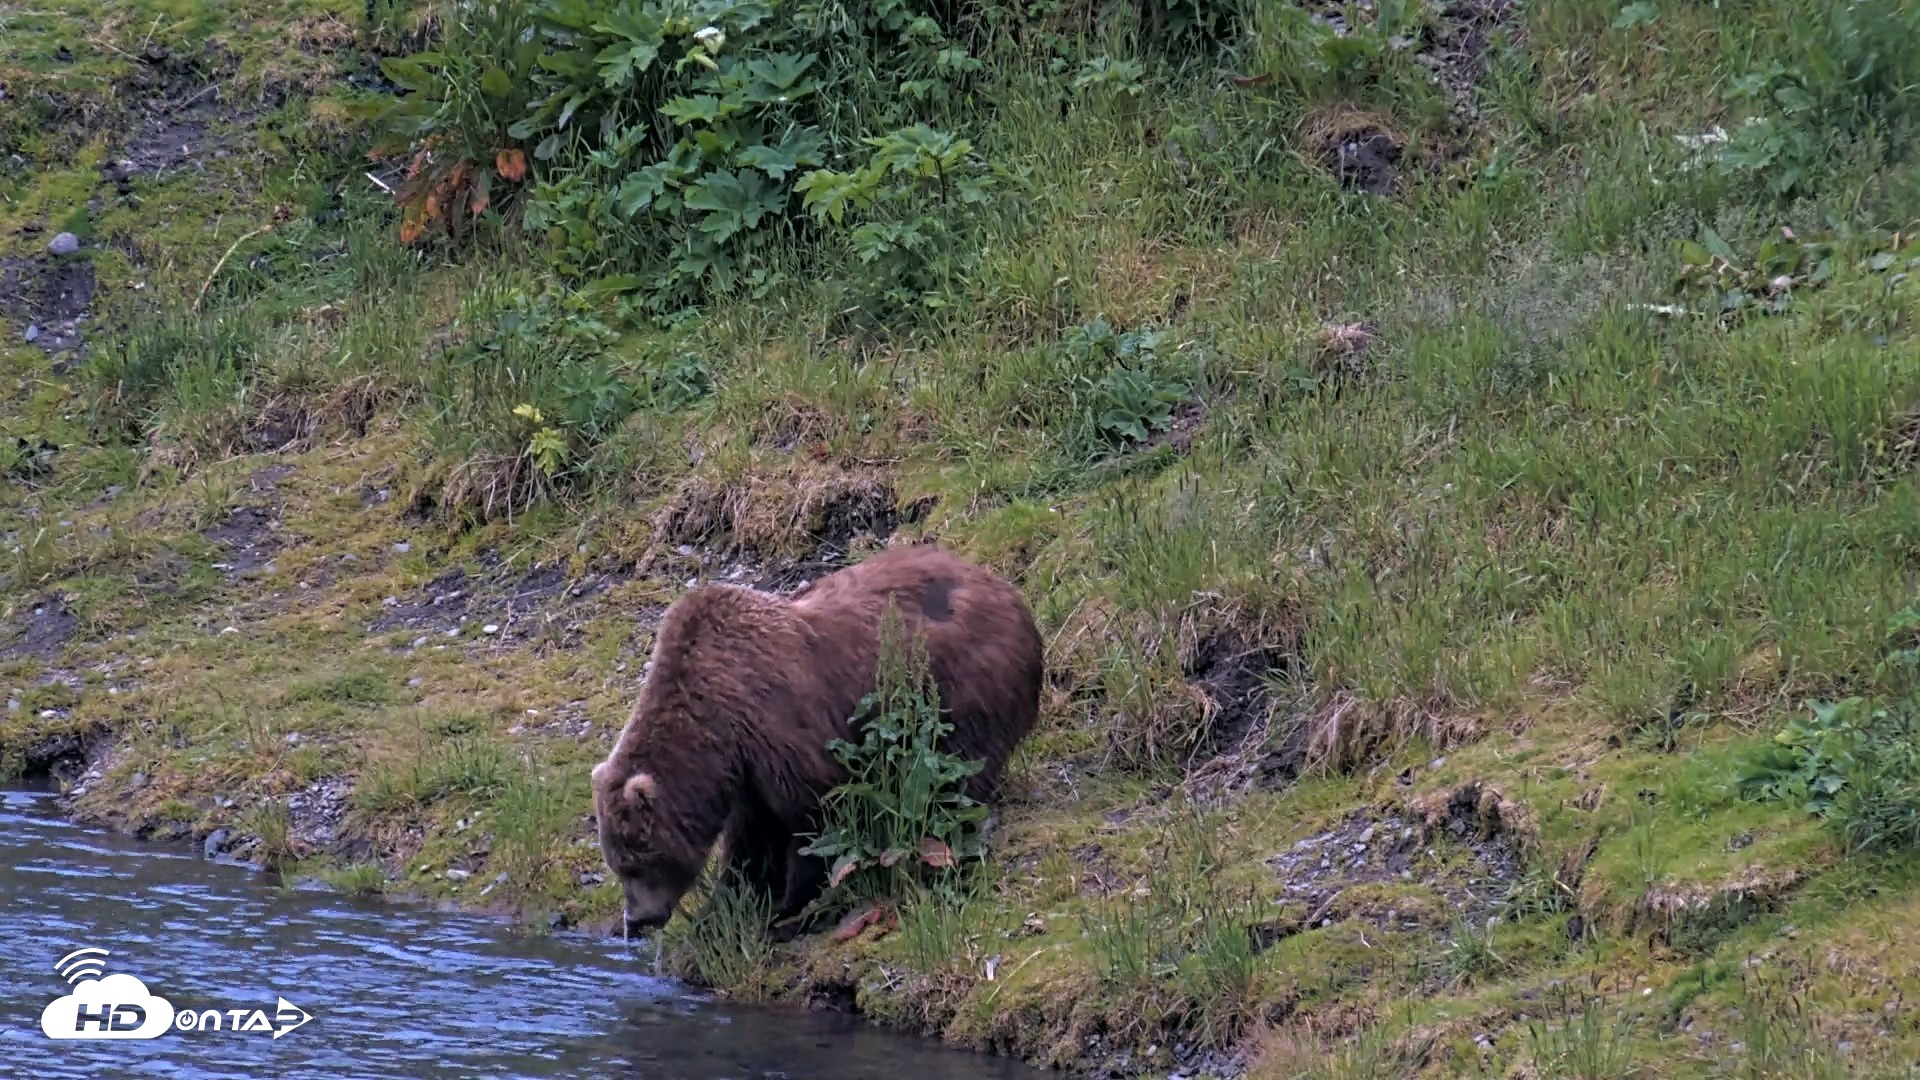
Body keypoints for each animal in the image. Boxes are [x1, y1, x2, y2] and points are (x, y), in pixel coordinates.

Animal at [590, 542, 1044, 940]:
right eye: (617, 862)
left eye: (638, 859)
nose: (637, 920)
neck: (717, 730)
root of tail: (1013, 594)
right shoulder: (745, 771)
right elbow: (751, 841)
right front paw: (723, 909)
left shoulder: (782, 731)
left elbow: (815, 822)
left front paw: (791, 912)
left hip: (960, 687)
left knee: (960, 772)